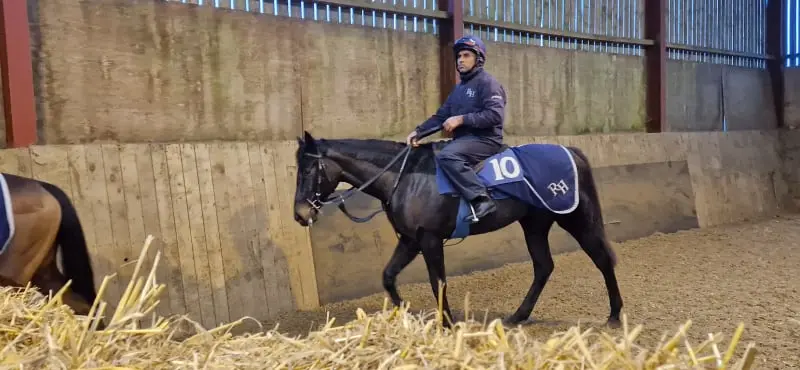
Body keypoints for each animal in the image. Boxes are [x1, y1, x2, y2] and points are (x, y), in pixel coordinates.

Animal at [290, 132, 620, 328]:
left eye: (307, 169)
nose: (300, 213)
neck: (405, 177)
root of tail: (571, 151)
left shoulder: (429, 240)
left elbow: (438, 282)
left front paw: (447, 322)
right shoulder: (410, 240)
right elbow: (388, 276)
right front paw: (406, 313)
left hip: (575, 219)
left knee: (602, 259)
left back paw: (615, 316)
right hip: (534, 225)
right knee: (543, 267)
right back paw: (518, 316)